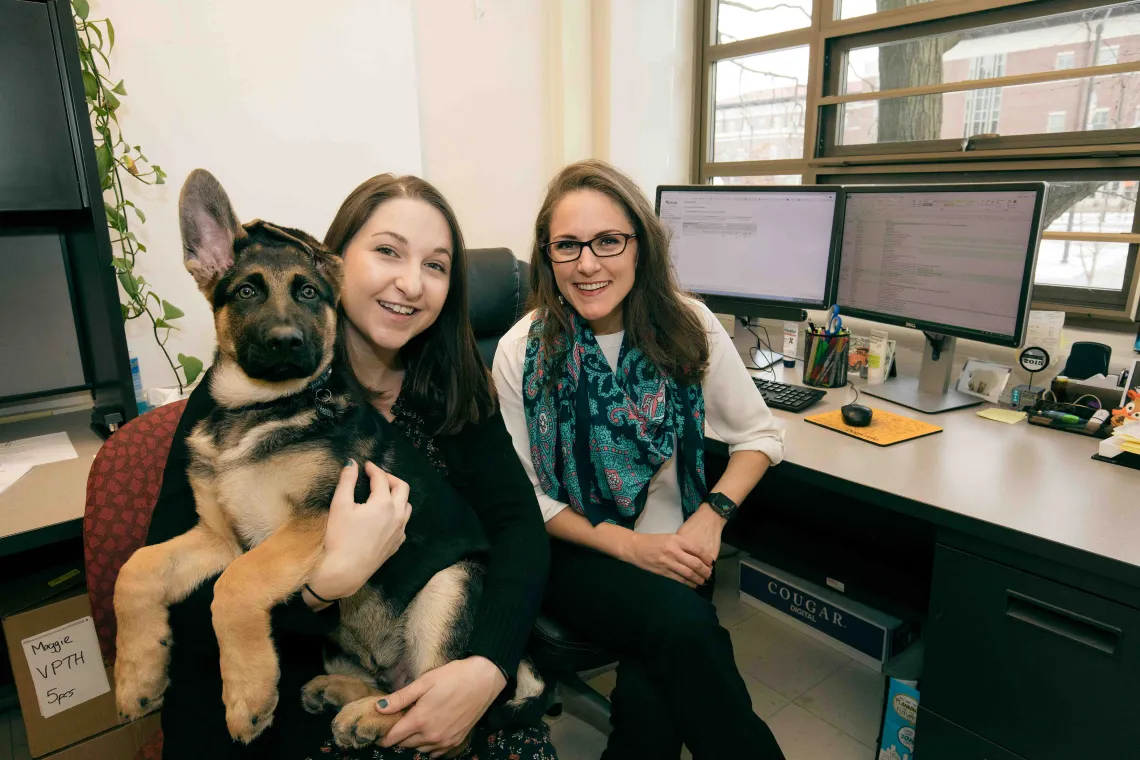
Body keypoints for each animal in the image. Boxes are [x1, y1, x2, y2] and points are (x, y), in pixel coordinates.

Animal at [110, 170, 542, 747]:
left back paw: (369, 718)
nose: (286, 341)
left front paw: (247, 698)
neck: (260, 409)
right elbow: (135, 570)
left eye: (310, 293)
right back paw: (340, 695)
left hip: (448, 585)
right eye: (246, 291)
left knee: (440, 710)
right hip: (347, 642)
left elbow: (234, 586)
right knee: (392, 686)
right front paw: (138, 676)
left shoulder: (311, 522)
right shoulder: (219, 538)